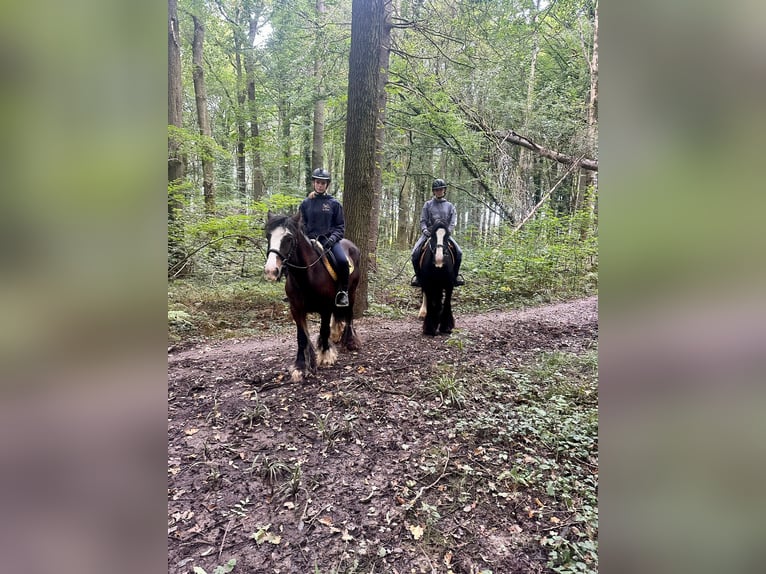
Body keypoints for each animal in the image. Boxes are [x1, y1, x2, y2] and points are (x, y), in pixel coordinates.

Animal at [264, 212, 364, 382]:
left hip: (352, 292)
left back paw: (350, 341)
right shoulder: (296, 309)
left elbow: (323, 330)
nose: (271, 271)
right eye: (268, 236)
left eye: (289, 238)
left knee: (349, 314)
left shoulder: (325, 308)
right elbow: (301, 337)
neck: (306, 275)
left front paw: (325, 355)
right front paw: (300, 366)